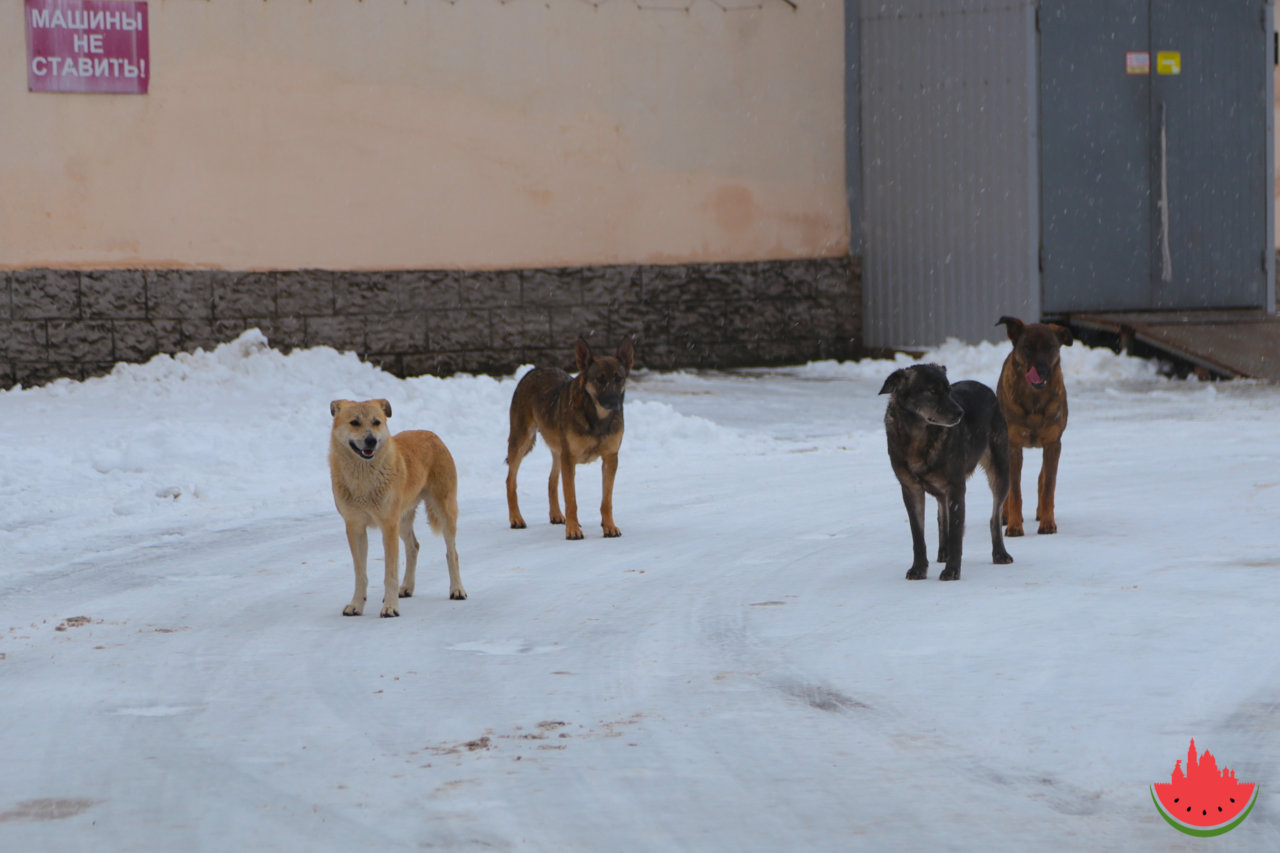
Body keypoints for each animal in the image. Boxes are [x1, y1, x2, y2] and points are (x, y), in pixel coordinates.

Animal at [327, 399, 468, 617]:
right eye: (354, 423)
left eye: (376, 422)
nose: (371, 441)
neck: (363, 482)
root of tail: (432, 434)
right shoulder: (355, 527)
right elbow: (360, 573)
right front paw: (356, 605)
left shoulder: (388, 526)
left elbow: (389, 574)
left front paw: (390, 607)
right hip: (402, 520)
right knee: (414, 547)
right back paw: (407, 587)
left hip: (443, 512)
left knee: (452, 553)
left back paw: (457, 589)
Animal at [504, 333, 634, 537]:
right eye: (600, 379)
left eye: (618, 378)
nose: (614, 404)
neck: (596, 417)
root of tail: (534, 370)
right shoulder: (569, 458)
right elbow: (571, 499)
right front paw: (573, 530)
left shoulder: (610, 458)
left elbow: (607, 500)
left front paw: (609, 526)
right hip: (522, 442)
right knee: (510, 480)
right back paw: (516, 518)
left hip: (558, 450)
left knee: (551, 481)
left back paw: (556, 514)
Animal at [875, 361, 1013, 581]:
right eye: (932, 391)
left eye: (948, 391)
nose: (961, 413)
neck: (918, 436)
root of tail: (987, 388)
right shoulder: (910, 488)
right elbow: (918, 535)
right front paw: (919, 569)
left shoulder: (956, 487)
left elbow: (956, 532)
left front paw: (952, 571)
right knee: (943, 516)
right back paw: (943, 552)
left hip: (1000, 472)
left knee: (995, 516)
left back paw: (1000, 553)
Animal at [993, 315, 1075, 535]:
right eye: (1028, 347)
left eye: (1050, 347)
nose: (1041, 371)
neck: (1034, 400)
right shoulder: (1013, 445)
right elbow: (1015, 491)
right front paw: (1014, 526)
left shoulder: (1053, 444)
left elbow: (1048, 486)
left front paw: (1048, 523)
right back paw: (1005, 516)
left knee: (1042, 477)